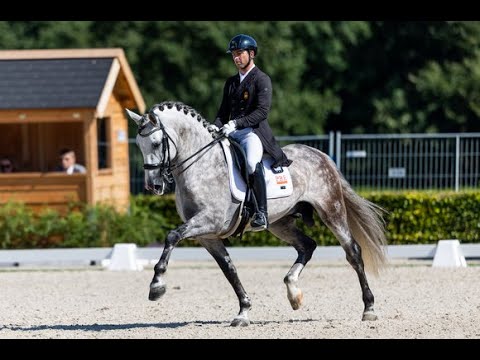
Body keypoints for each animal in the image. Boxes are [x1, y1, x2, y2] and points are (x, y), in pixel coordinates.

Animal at [126, 100, 386, 326]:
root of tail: (321, 155)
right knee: (307, 246)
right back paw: (293, 293)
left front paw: (157, 286)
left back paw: (369, 308)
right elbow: (229, 269)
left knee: (352, 252)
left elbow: (171, 236)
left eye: (157, 143)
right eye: (139, 145)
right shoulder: (207, 236)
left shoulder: (209, 222)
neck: (201, 165)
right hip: (279, 223)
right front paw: (244, 311)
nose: (153, 186)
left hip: (331, 210)